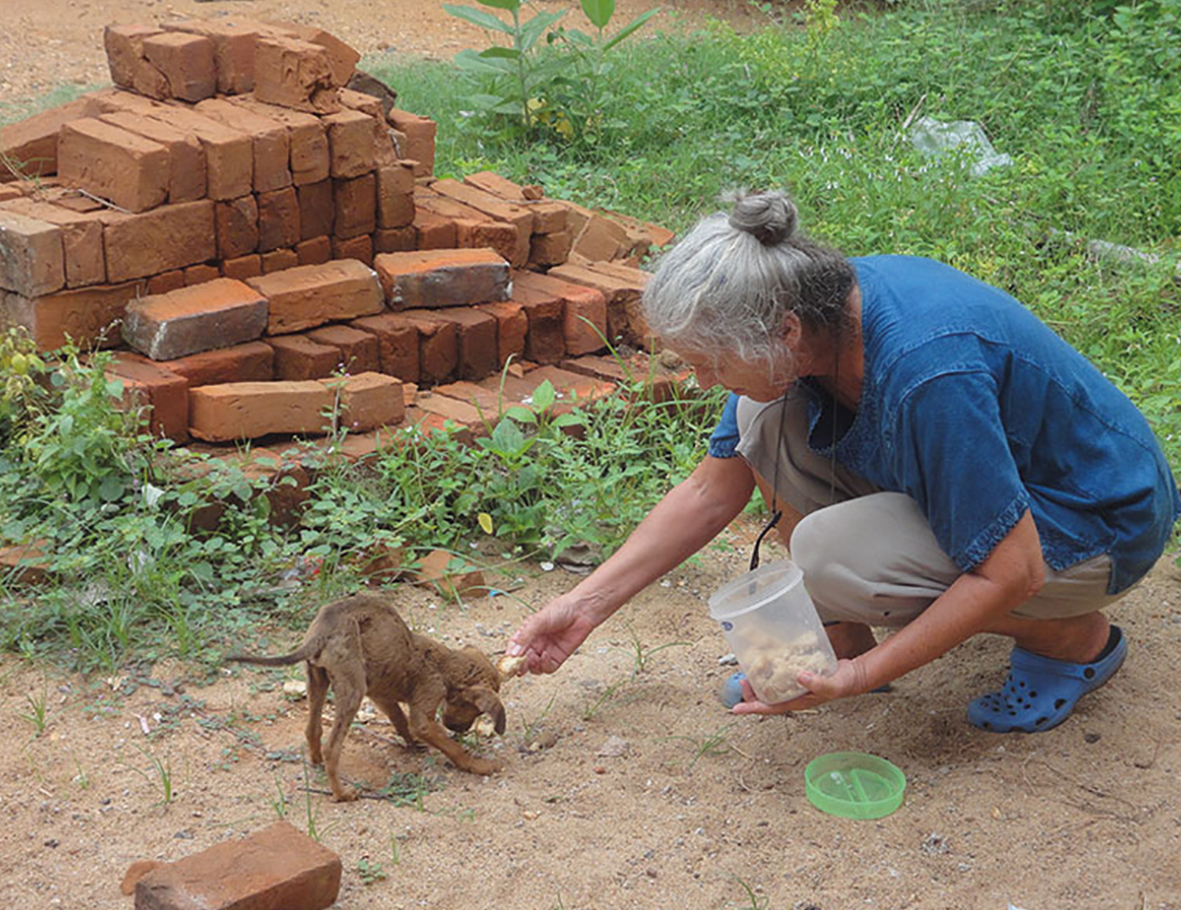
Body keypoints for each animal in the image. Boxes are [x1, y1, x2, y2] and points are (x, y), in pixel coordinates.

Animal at [227, 590, 505, 797]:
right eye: (477, 710)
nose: (460, 730)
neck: (446, 664)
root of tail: (322, 631)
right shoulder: (426, 703)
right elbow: (447, 744)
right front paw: (478, 765)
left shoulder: (382, 697)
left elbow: (401, 722)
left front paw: (412, 745)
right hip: (352, 691)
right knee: (332, 747)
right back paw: (341, 794)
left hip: (317, 680)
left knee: (313, 730)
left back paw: (316, 762)